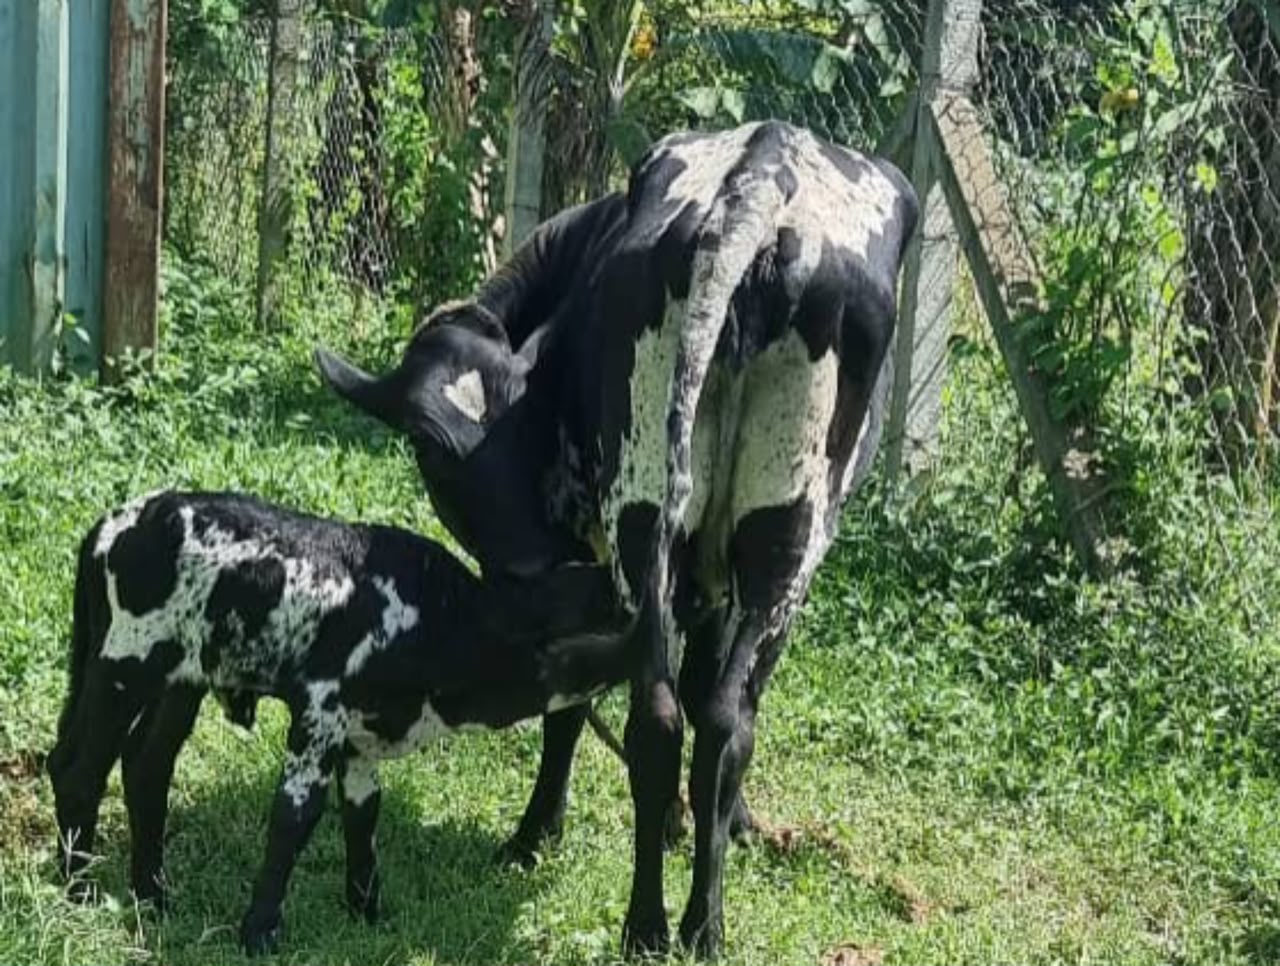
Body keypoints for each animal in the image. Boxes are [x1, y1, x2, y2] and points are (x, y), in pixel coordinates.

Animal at [47, 491, 628, 954]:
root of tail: (113, 525)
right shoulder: (319, 712)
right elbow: (294, 816)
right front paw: (259, 932)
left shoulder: (359, 737)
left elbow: (363, 814)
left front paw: (366, 911)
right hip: (124, 664)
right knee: (77, 771)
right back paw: (79, 890)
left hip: (180, 681)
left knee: (145, 767)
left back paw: (152, 895)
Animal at [316, 120, 919, 956]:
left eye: (427, 450)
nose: (527, 568)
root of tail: (761, 181)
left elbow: (578, 699)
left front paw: (547, 832)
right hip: (773, 534)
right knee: (711, 720)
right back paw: (688, 924)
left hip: (667, 526)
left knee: (678, 717)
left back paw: (662, 917)